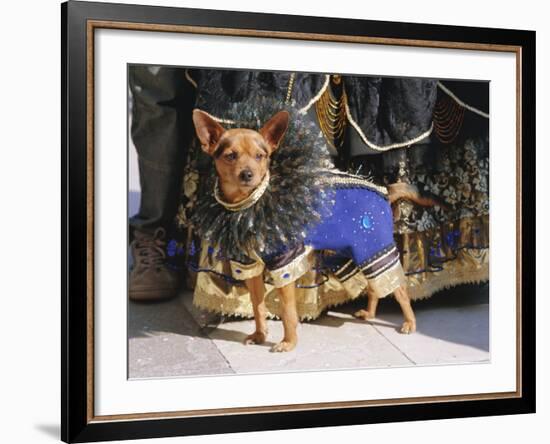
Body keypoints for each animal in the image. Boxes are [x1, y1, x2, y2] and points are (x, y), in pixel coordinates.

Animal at [192, 109, 416, 352]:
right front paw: (260, 335)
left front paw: (288, 343)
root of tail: (384, 192)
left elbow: (288, 312)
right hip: (350, 254)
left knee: (400, 289)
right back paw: (370, 313)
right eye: (230, 156)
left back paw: (410, 322)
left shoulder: (284, 265)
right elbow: (258, 307)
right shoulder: (249, 268)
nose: (247, 174)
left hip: (373, 249)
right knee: (375, 287)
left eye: (261, 156)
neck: (249, 205)